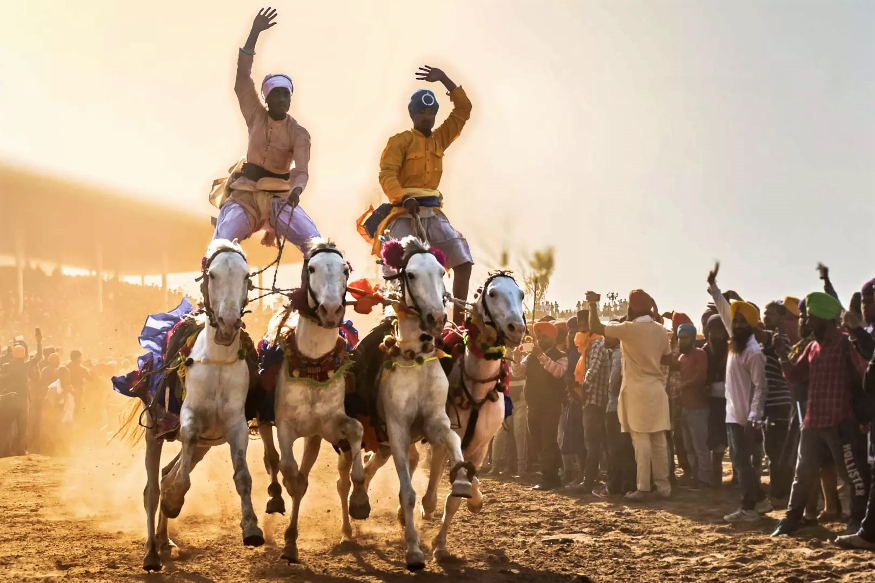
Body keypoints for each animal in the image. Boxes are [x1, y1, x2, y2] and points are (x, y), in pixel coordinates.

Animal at [139, 240, 260, 572]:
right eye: (213, 275)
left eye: (246, 277)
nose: (229, 323)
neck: (216, 361)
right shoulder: (189, 420)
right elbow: (179, 475)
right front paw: (173, 500)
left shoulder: (235, 426)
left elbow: (242, 476)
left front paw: (252, 527)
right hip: (154, 432)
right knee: (151, 489)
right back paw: (151, 551)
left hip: (206, 446)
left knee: (166, 473)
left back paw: (164, 540)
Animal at [258, 240, 372, 564]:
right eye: (311, 268)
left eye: (345, 270)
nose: (331, 310)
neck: (312, 363)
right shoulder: (285, 426)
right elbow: (288, 469)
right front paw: (288, 540)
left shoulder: (329, 426)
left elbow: (356, 430)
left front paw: (360, 500)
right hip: (264, 420)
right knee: (271, 459)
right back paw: (274, 498)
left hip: (314, 437)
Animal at [342, 236, 480, 572]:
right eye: (412, 275)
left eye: (441, 272)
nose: (438, 318)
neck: (415, 361)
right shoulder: (398, 431)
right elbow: (406, 492)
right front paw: (414, 552)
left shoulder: (434, 422)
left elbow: (452, 440)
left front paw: (461, 482)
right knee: (347, 474)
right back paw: (352, 515)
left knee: (371, 466)